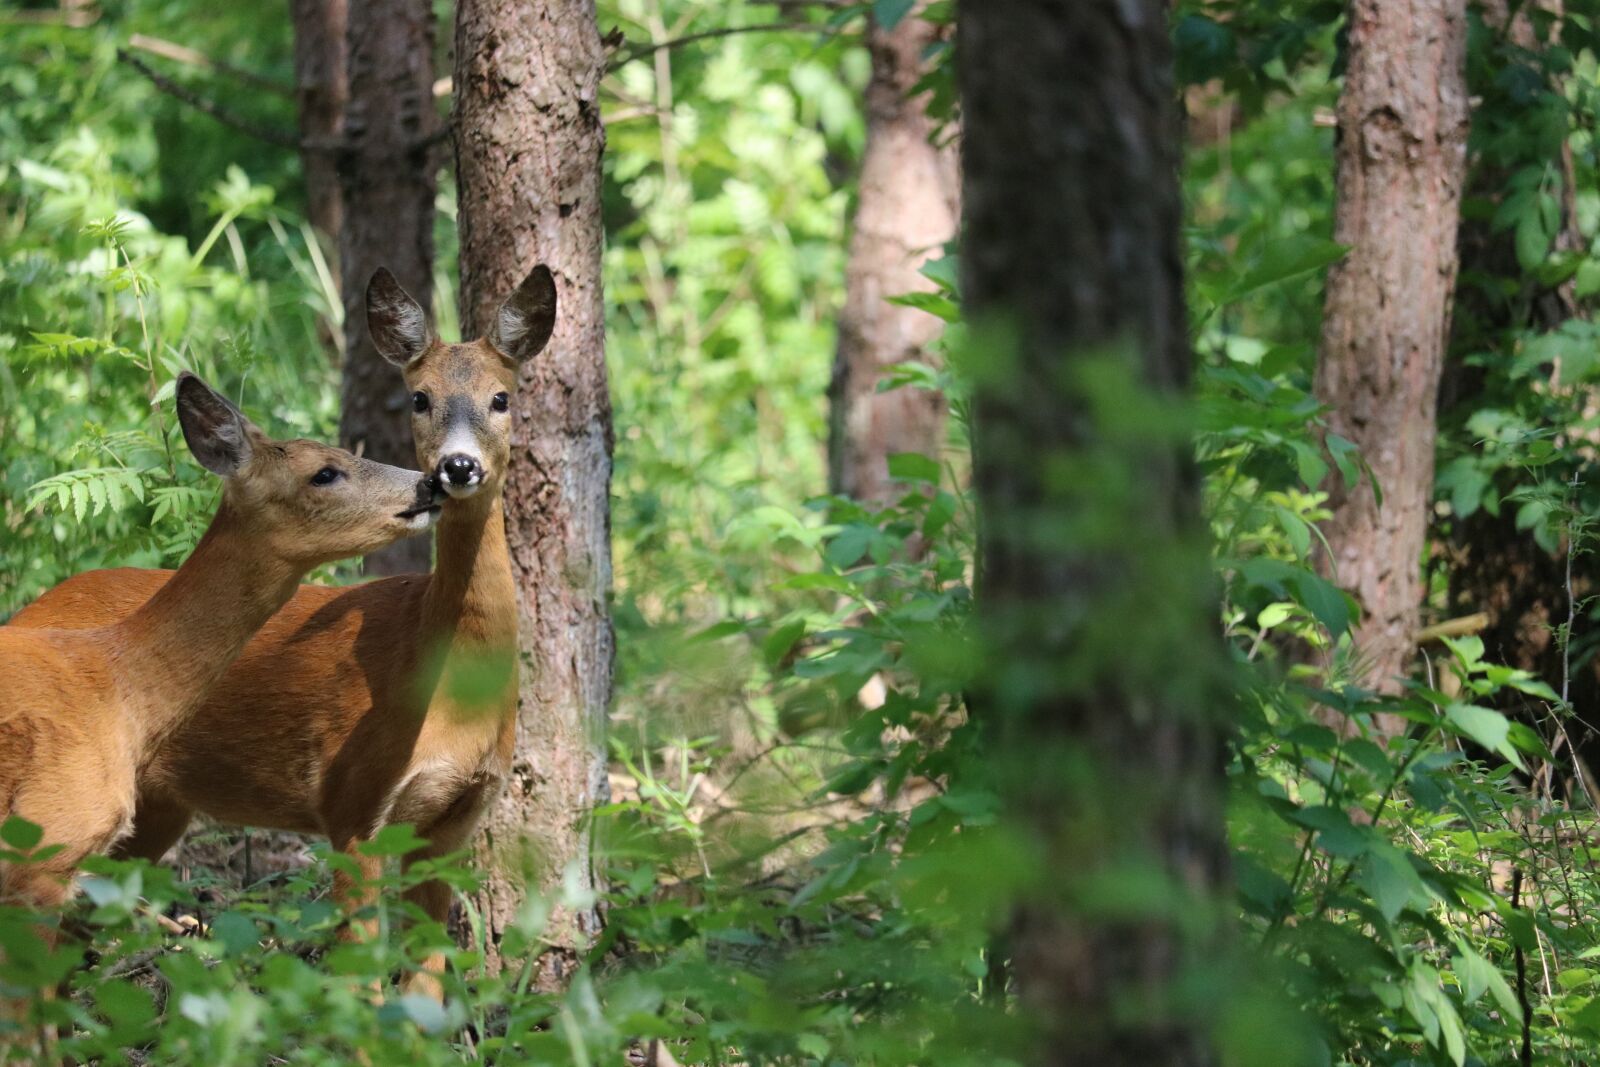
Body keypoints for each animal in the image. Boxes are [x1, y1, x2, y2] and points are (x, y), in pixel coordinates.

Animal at [9, 264, 559, 999]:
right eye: (419, 398)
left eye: (502, 397)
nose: (455, 469)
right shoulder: (352, 801)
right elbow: (361, 983)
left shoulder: (451, 824)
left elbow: (427, 986)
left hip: (153, 812)